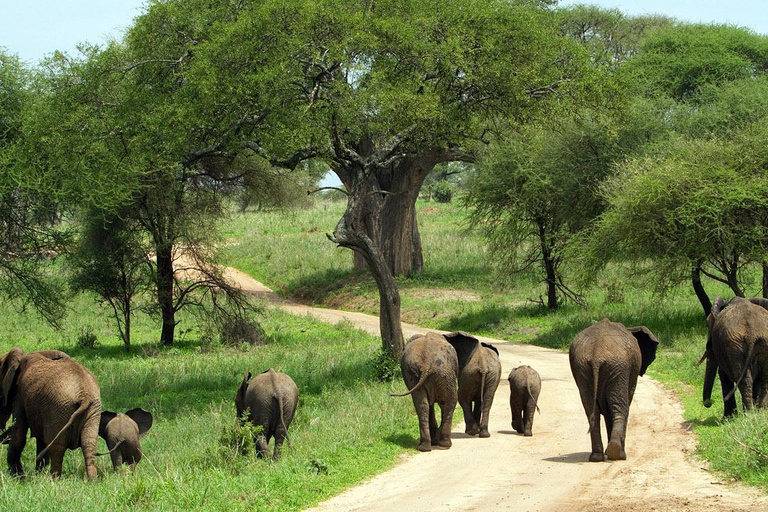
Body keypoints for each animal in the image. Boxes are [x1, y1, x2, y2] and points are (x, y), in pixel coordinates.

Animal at [0, 346, 102, 478]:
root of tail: (84, 394)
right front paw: (35, 475)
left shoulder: (19, 395)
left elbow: (19, 433)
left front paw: (19, 477)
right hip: (92, 410)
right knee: (89, 444)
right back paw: (92, 480)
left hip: (58, 407)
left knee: (56, 448)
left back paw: (54, 479)